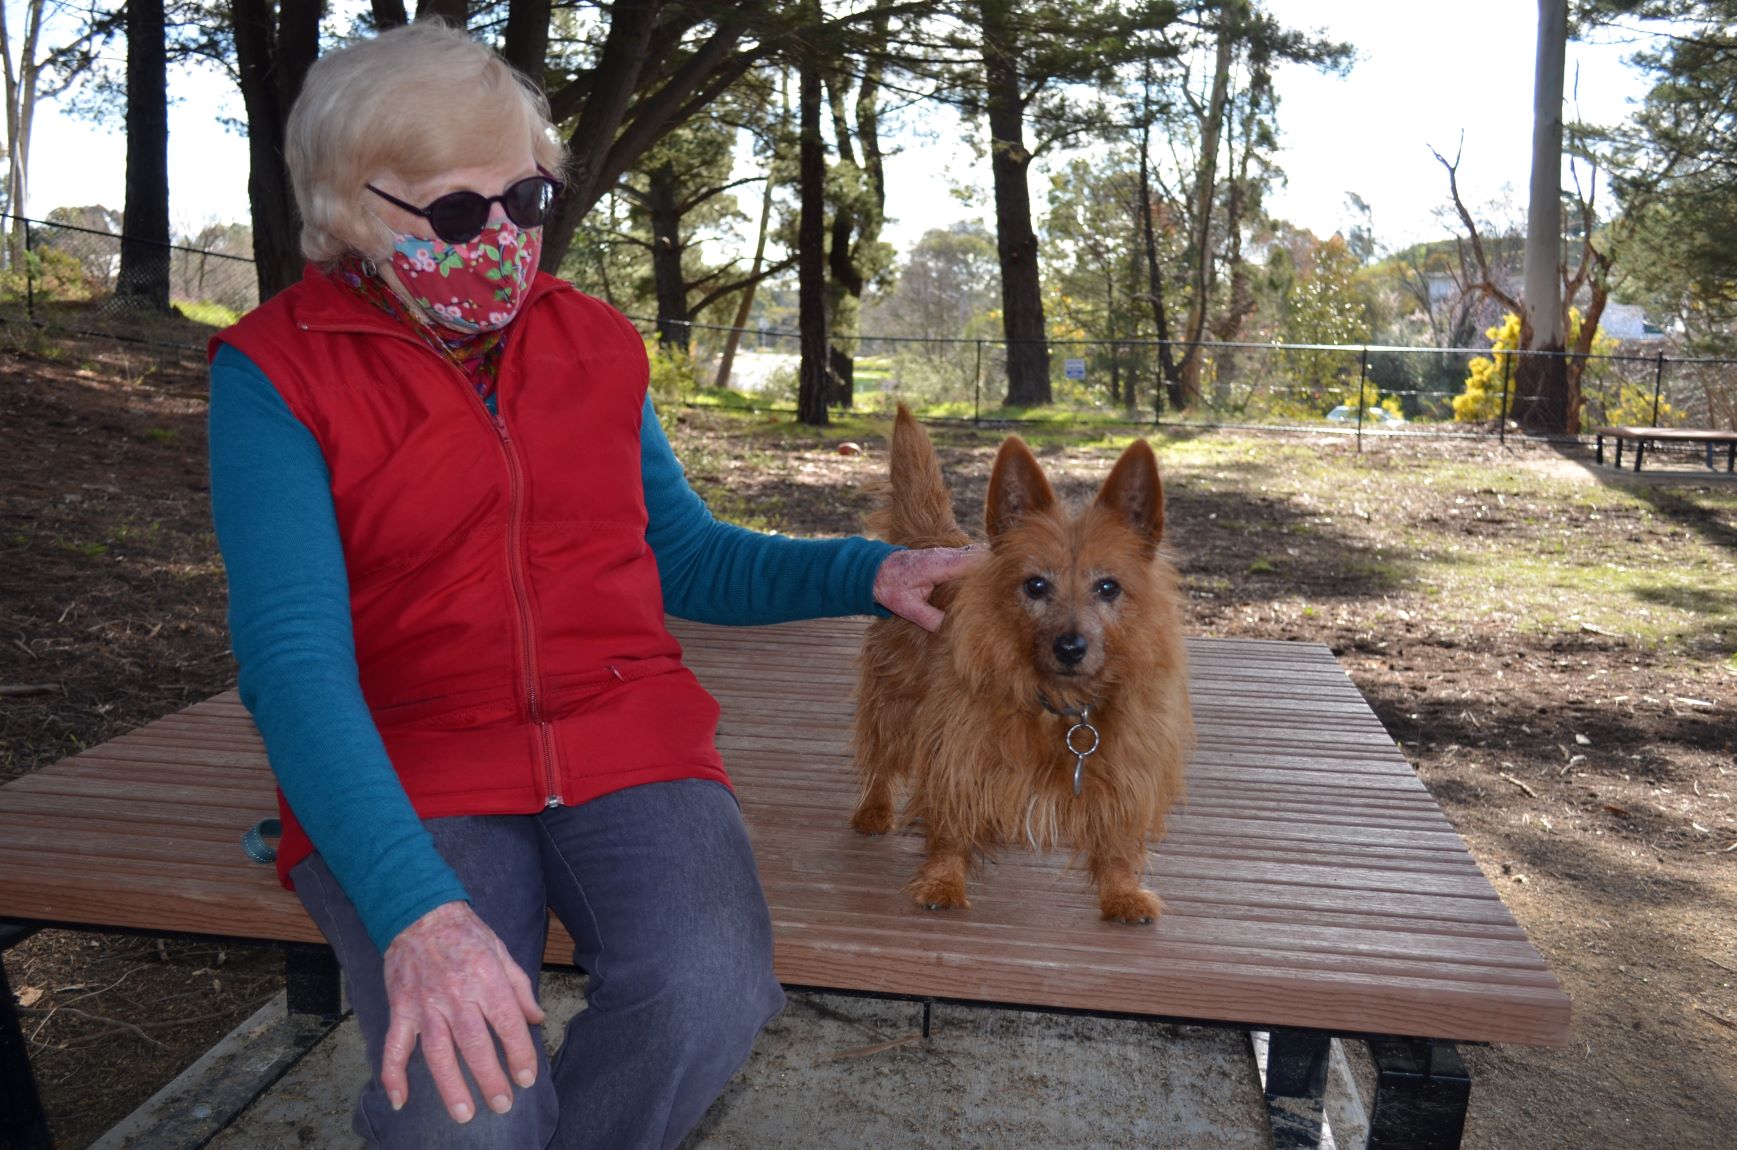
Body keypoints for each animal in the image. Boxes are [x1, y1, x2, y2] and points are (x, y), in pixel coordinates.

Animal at [851, 409, 1195, 924]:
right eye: (1035, 585)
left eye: (1108, 587)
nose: (1070, 647)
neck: (1060, 703)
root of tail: (932, 541)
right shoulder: (960, 748)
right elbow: (951, 822)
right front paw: (942, 880)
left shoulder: (1125, 759)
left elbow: (1115, 831)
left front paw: (1121, 891)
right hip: (894, 702)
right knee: (878, 756)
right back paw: (873, 808)